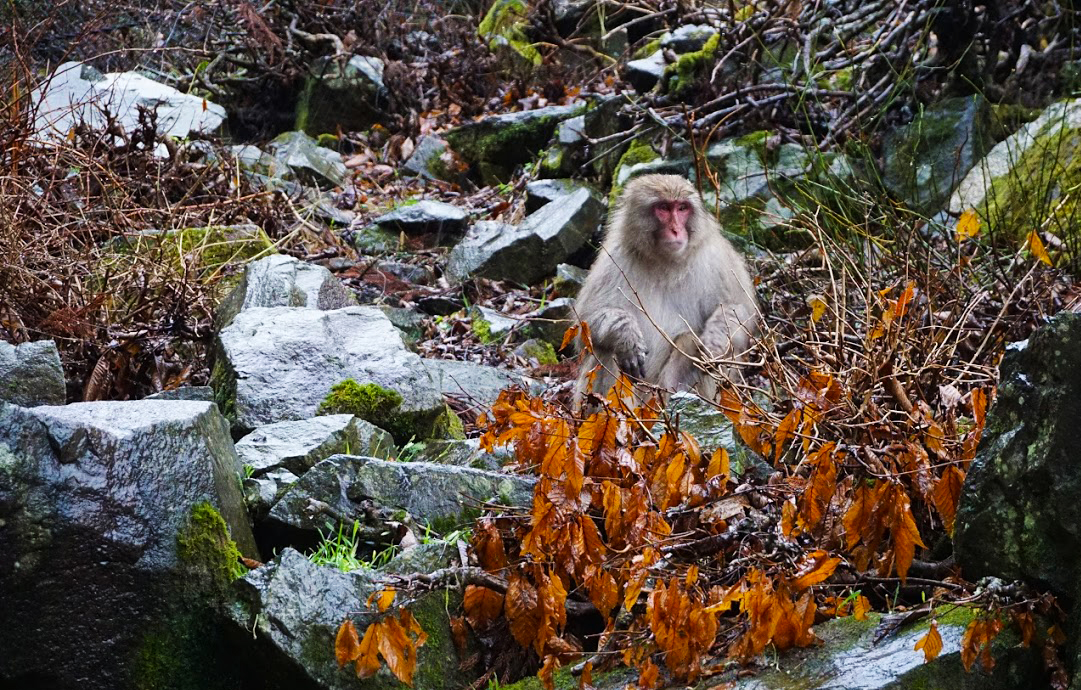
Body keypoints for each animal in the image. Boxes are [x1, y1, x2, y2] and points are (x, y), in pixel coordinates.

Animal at [575, 175, 761, 408]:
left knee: (691, 344)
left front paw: (714, 342)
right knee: (606, 349)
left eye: (682, 208)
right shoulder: (614, 259)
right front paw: (626, 335)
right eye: (663, 208)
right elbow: (585, 326)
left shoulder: (717, 259)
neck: (665, 261)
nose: (675, 230)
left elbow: (739, 310)